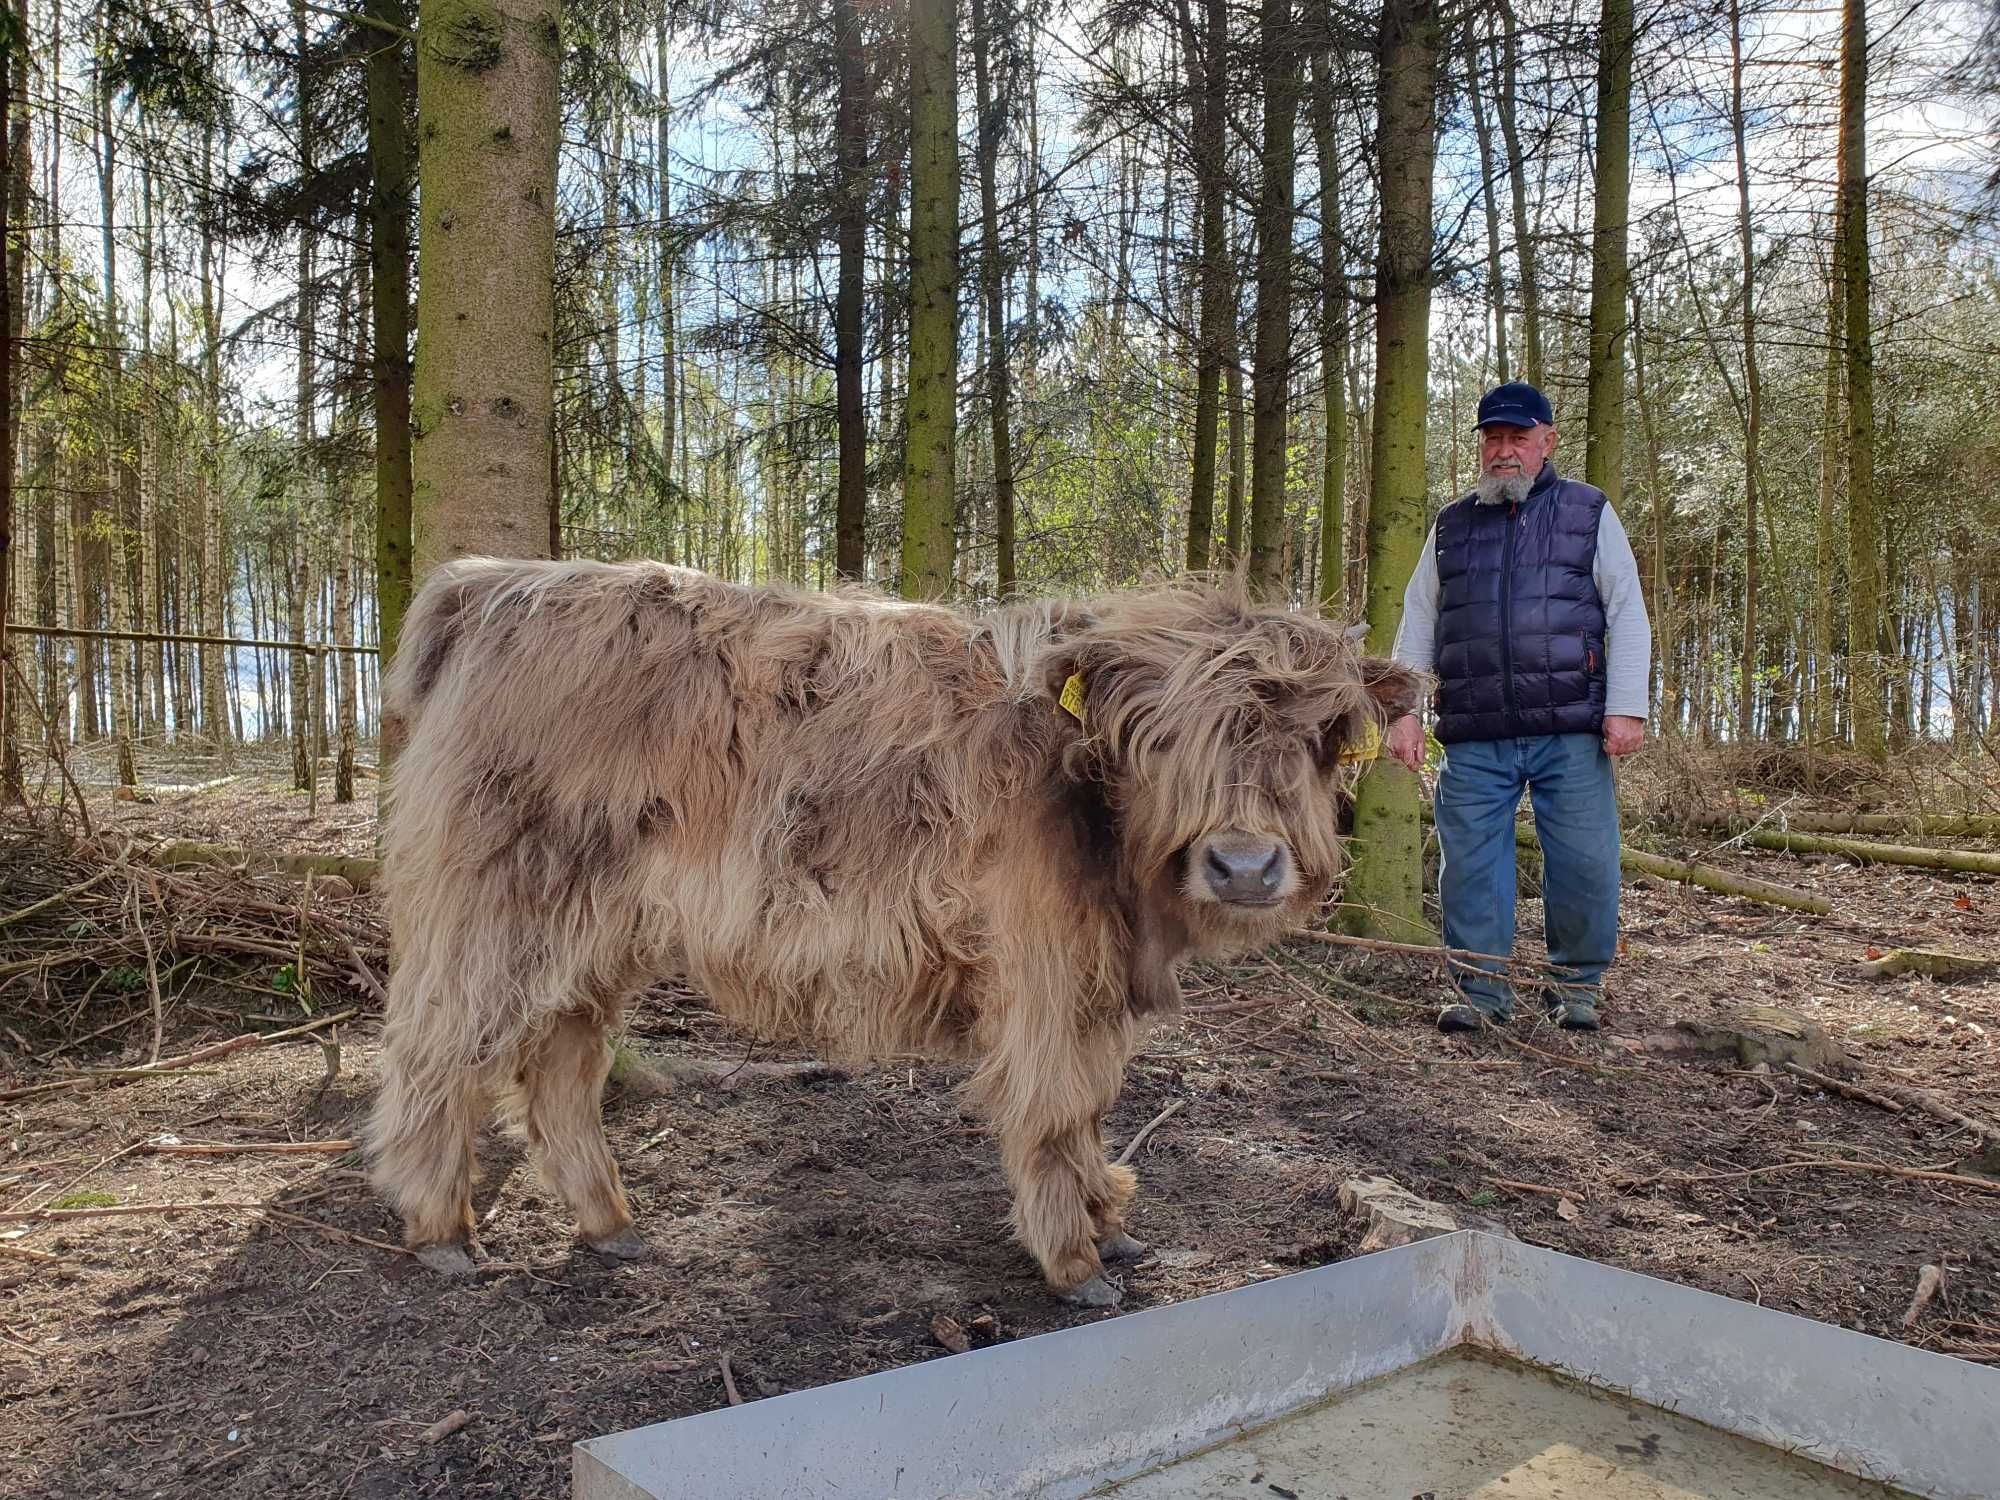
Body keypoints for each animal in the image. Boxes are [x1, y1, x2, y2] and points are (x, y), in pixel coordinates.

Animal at [368, 560, 1416, 1312]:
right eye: (1159, 738)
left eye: (1321, 734)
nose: (1244, 866)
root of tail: (491, 584)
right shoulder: (1043, 972)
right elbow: (1051, 1105)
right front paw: (1075, 1262)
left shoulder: (1094, 983)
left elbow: (1091, 1103)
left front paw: (1110, 1224)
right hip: (489, 910)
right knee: (436, 1049)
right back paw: (442, 1233)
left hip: (594, 931)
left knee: (560, 1062)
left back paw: (607, 1222)